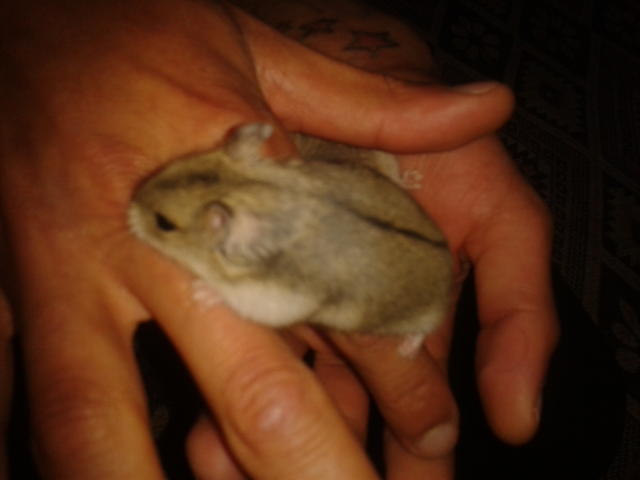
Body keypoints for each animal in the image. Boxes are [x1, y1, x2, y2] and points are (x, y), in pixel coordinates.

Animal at [128, 123, 452, 356]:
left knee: (426, 327)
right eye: (168, 166)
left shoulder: (277, 299)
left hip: (424, 314)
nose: (128, 210)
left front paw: (200, 292)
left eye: (163, 223)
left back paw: (405, 351)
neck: (253, 191)